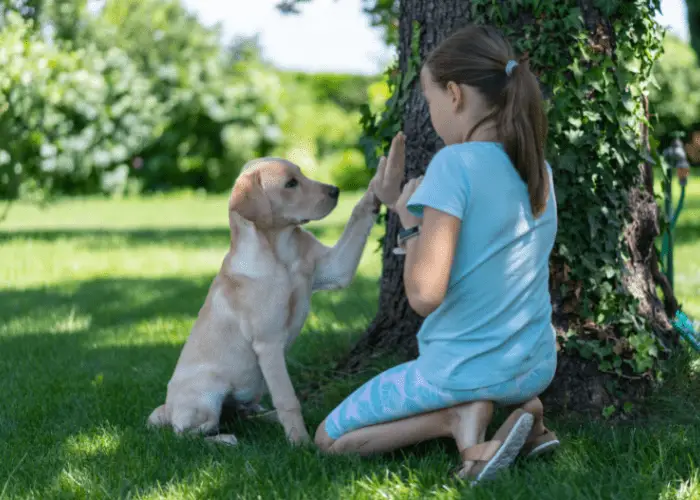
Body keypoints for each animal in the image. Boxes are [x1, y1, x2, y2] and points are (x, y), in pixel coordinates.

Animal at [148, 156, 388, 446]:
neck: (280, 253)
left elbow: (358, 217)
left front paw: (379, 181)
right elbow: (287, 398)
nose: (335, 190)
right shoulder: (269, 343)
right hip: (207, 393)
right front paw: (300, 442)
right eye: (291, 184)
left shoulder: (335, 268)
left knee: (244, 415)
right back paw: (225, 439)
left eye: (302, 174)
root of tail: (167, 408)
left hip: (245, 398)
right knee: (186, 433)